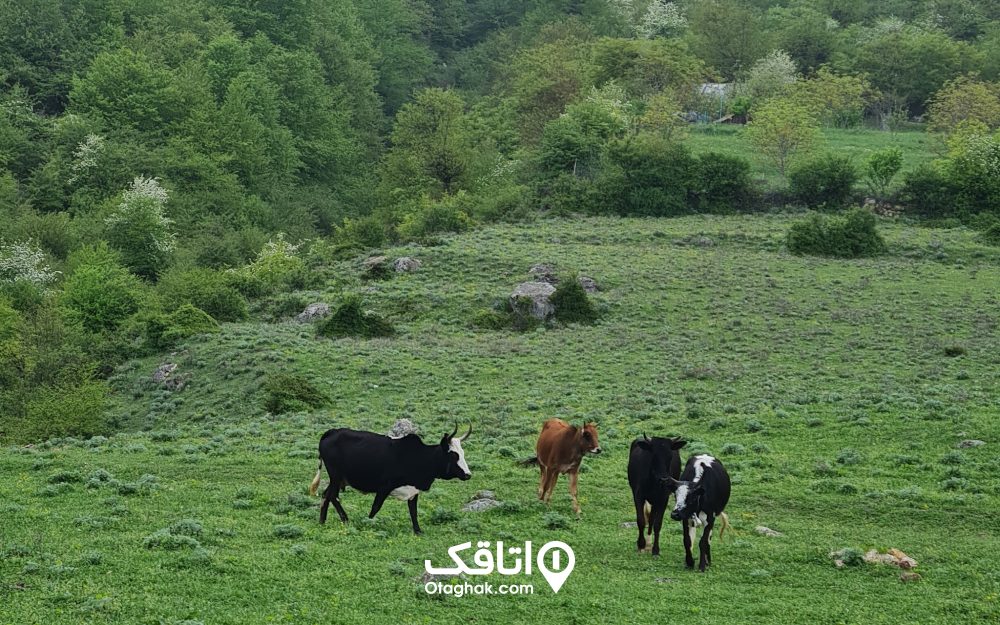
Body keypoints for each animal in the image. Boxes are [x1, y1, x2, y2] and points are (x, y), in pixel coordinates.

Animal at [308, 422, 472, 532]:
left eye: (462, 453)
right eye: (453, 455)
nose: (468, 475)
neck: (419, 457)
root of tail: (332, 432)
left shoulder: (413, 490)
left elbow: (413, 511)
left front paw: (418, 531)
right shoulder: (384, 487)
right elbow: (376, 507)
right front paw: (368, 523)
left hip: (337, 479)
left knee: (326, 495)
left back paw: (323, 521)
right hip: (336, 476)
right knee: (332, 495)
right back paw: (344, 519)